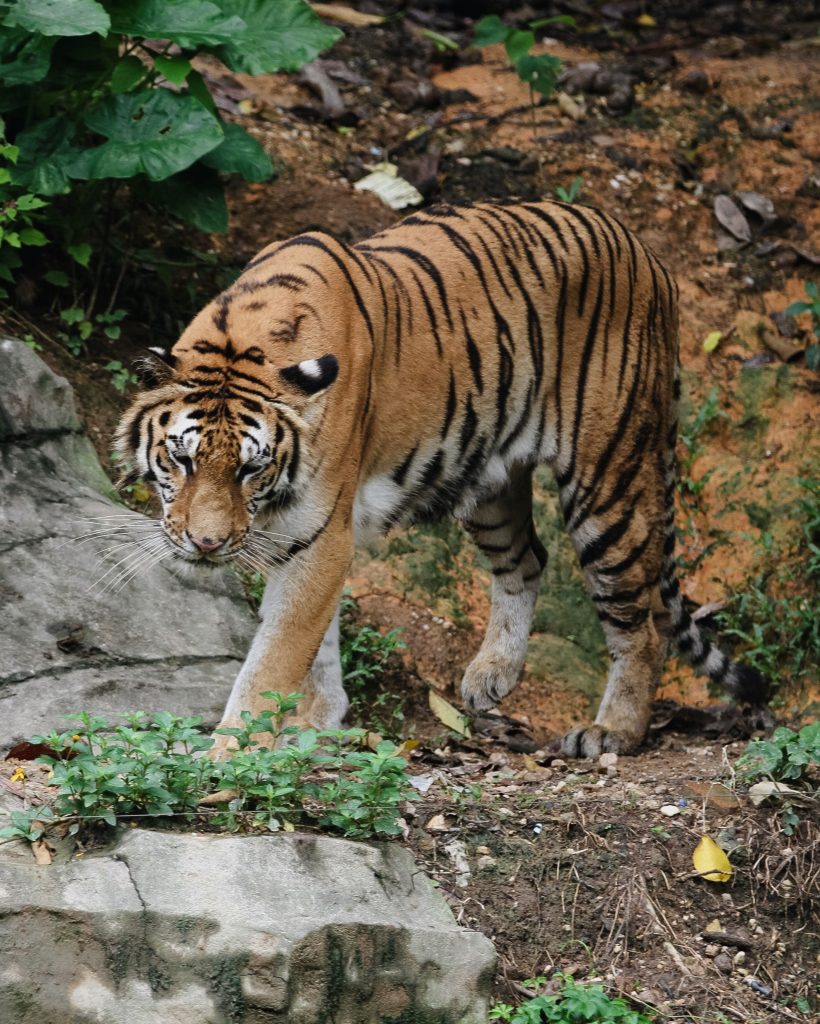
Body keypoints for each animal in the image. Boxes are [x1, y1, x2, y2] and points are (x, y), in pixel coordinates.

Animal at [115, 199, 767, 761]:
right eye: (181, 459)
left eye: (250, 469)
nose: (207, 544)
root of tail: (649, 256)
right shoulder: (303, 541)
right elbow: (314, 647)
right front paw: (315, 723)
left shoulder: (318, 535)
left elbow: (277, 655)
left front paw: (229, 758)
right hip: (487, 479)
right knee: (527, 561)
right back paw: (490, 677)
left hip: (608, 478)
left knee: (643, 626)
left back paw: (612, 732)